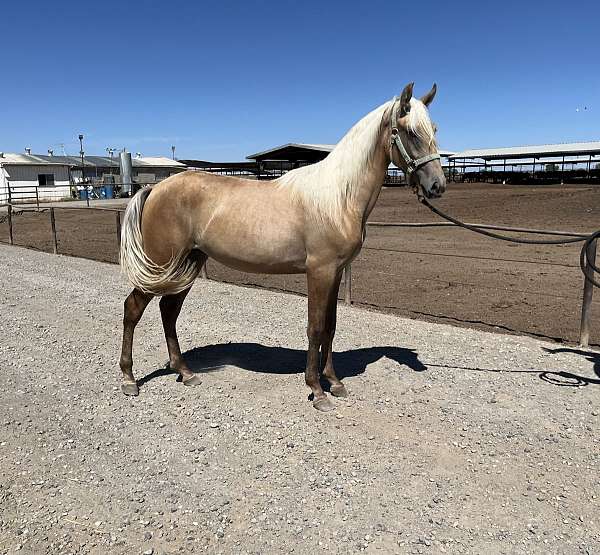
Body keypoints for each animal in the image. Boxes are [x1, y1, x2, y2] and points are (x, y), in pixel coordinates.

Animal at [119, 83, 446, 412]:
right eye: (410, 132)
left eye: (433, 129)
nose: (437, 186)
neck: (337, 197)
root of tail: (156, 188)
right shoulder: (319, 272)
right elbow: (315, 328)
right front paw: (317, 390)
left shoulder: (336, 273)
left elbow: (331, 326)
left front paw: (335, 382)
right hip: (162, 264)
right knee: (133, 308)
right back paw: (129, 379)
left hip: (187, 264)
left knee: (168, 311)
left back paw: (185, 373)